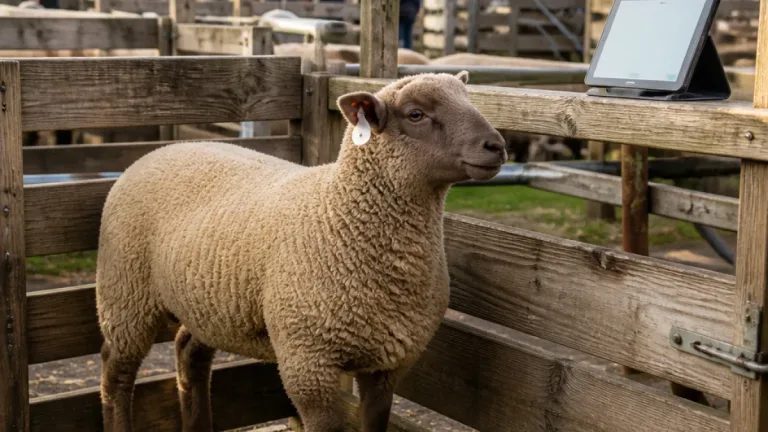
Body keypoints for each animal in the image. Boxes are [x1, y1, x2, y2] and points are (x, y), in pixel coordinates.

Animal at [96, 71, 507, 432]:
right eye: (416, 114)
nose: (497, 145)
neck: (339, 216)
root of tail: (162, 149)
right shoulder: (307, 363)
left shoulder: (387, 366)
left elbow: (375, 422)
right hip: (125, 294)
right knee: (116, 371)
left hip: (210, 305)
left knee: (188, 352)